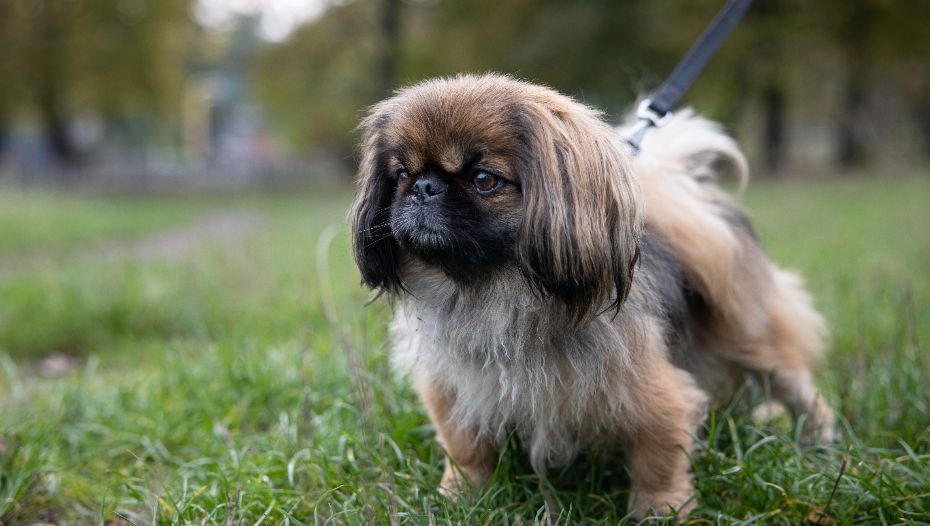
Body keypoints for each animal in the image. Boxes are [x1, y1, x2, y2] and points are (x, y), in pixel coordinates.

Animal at [346, 73, 832, 520]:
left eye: (484, 179)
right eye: (401, 175)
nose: (424, 188)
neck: (495, 292)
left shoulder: (655, 392)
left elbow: (658, 459)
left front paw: (660, 509)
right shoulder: (454, 390)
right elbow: (466, 450)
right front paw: (460, 497)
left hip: (755, 342)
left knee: (800, 390)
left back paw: (820, 442)